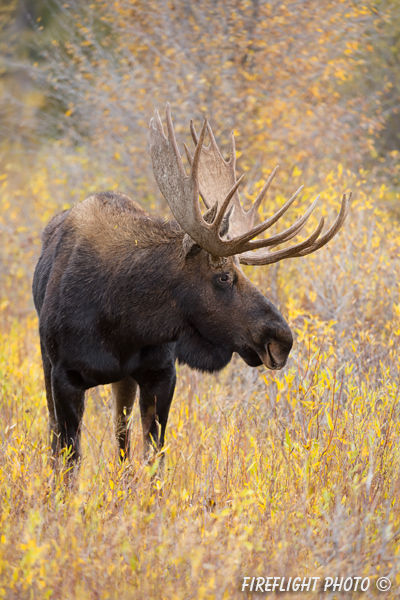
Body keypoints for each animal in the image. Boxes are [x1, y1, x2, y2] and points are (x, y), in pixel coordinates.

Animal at [32, 105, 350, 466]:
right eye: (224, 276)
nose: (282, 339)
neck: (124, 325)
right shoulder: (64, 376)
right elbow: (66, 459)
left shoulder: (161, 374)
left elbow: (153, 456)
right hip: (47, 362)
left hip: (123, 382)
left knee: (122, 438)